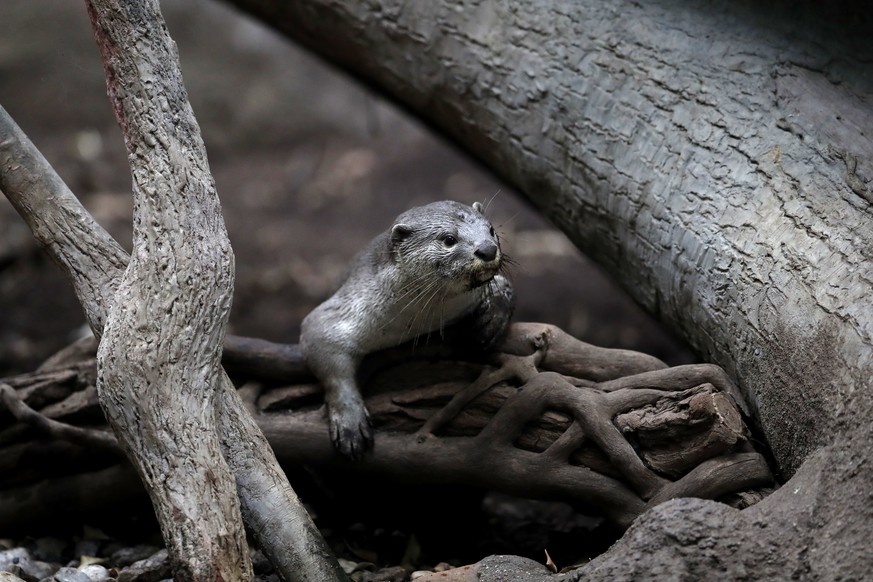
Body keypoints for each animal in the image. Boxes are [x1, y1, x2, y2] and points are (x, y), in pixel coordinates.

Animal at [300, 202, 510, 460]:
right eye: (449, 239)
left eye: (491, 229)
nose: (488, 249)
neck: (417, 320)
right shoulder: (335, 314)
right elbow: (327, 357)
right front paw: (350, 424)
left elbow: (504, 286)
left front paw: (491, 322)